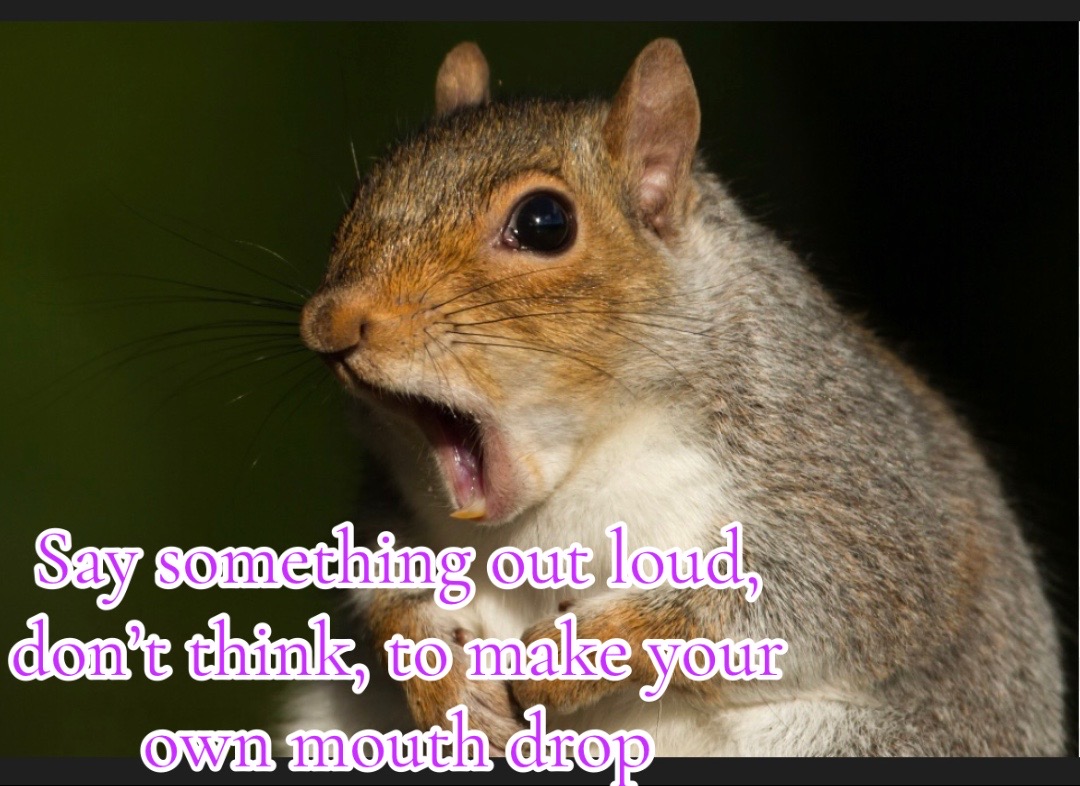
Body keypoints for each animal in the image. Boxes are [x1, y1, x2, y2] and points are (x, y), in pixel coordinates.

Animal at [288, 39, 1065, 756]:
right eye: (360, 195)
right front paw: (443, 678)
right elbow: (385, 584)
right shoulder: (393, 505)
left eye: (544, 222)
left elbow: (809, 602)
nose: (330, 322)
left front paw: (578, 653)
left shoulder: (847, 484)